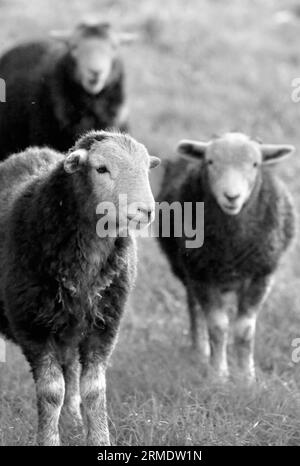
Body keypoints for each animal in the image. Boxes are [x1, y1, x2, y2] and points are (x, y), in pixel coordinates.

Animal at [0, 129, 161, 446]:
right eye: (101, 169)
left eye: (146, 168)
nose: (146, 211)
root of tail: (28, 151)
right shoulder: (32, 326)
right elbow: (51, 392)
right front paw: (49, 440)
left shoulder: (104, 324)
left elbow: (94, 390)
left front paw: (99, 439)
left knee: (71, 372)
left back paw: (73, 419)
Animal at [157, 131, 296, 382]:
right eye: (210, 162)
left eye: (255, 164)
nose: (232, 196)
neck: (232, 246)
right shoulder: (201, 275)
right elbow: (218, 326)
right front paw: (218, 375)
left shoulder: (262, 275)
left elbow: (244, 329)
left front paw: (246, 376)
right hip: (187, 269)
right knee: (195, 308)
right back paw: (200, 351)